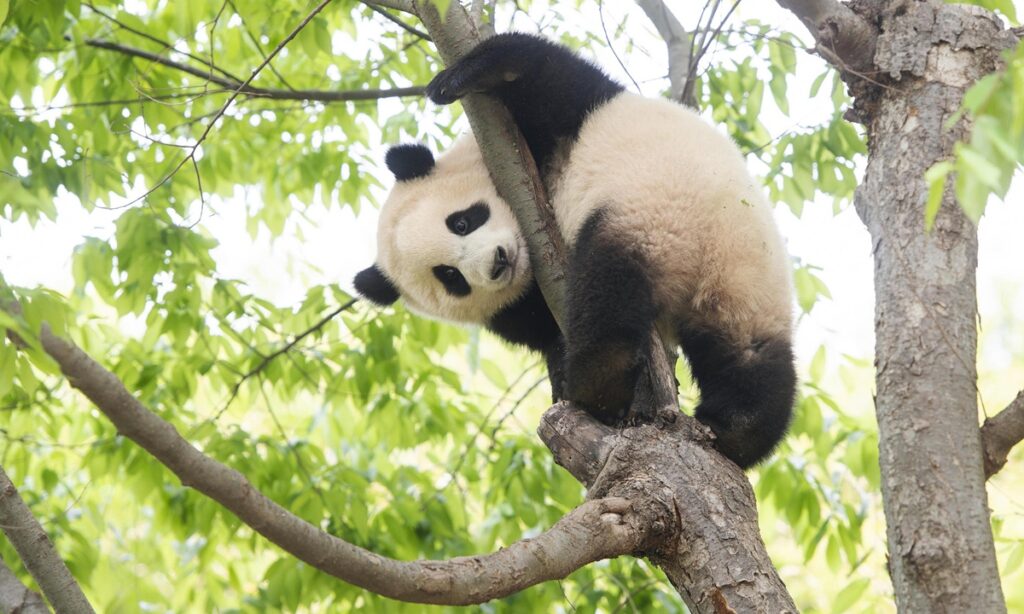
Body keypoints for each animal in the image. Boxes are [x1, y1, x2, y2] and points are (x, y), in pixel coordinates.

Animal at [356, 33, 794, 468]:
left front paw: (457, 78)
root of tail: (693, 261)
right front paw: (558, 373)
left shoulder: (553, 124)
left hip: (662, 224)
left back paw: (601, 386)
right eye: (450, 276)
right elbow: (542, 327)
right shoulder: (518, 304)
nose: (497, 263)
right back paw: (735, 425)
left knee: (606, 294)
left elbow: (546, 76)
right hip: (732, 275)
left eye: (461, 221)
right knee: (745, 354)